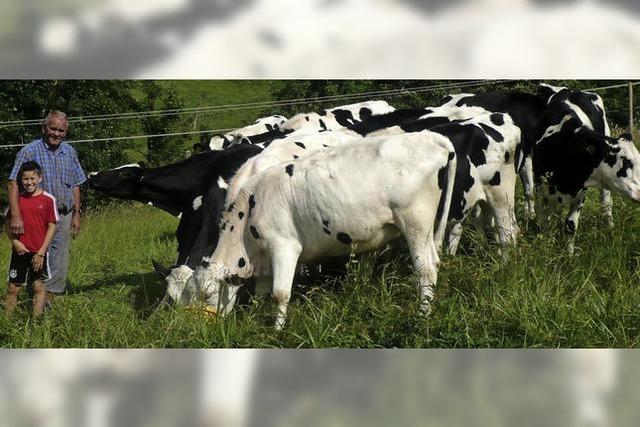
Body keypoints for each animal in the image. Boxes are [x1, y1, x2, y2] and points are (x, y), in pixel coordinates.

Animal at [165, 132, 456, 330]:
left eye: (207, 295)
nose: (200, 328)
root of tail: (432, 138)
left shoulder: (284, 246)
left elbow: (280, 293)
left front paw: (277, 331)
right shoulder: (263, 258)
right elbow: (261, 292)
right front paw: (256, 320)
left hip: (415, 223)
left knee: (426, 269)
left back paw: (422, 315)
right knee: (432, 262)